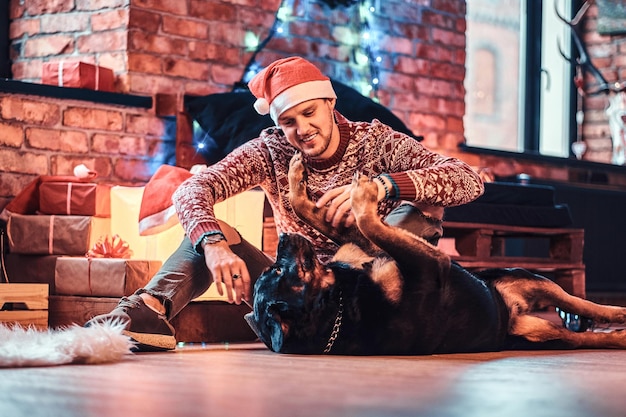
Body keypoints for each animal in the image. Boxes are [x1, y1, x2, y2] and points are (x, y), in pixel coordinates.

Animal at [245, 154, 626, 354]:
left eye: (270, 272)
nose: (284, 240)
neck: (338, 300)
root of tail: (511, 316)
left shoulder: (363, 247)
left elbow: (321, 212)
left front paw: (297, 181)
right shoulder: (431, 265)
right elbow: (370, 221)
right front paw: (362, 195)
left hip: (522, 278)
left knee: (579, 306)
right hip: (537, 311)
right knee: (584, 324)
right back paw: (617, 325)